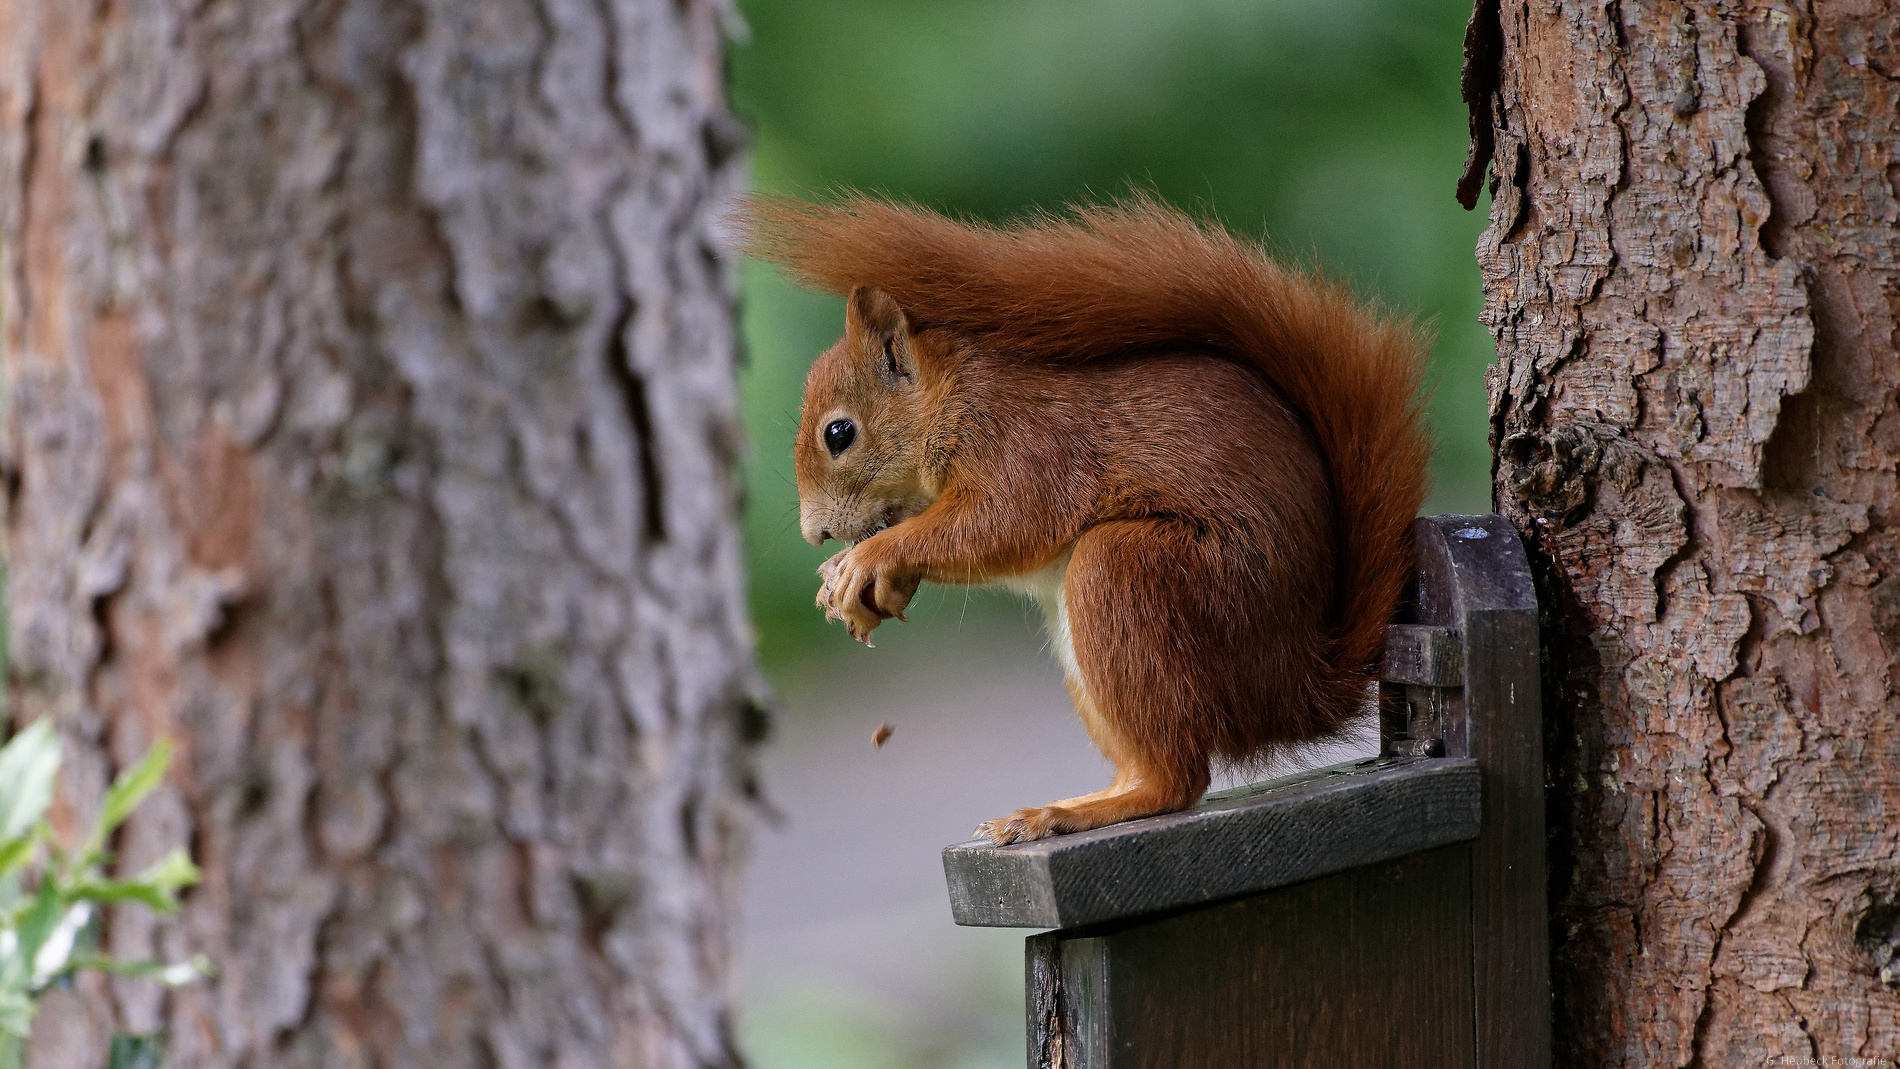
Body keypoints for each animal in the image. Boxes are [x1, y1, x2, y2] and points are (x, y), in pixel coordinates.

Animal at [737, 192, 1428, 846]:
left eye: (839, 433)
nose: (815, 533)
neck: (949, 395)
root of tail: (1298, 687)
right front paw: (863, 580)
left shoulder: (1028, 446)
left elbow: (1005, 522)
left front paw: (866, 559)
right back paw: (1077, 803)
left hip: (1137, 575)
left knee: (1177, 779)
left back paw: (1067, 812)